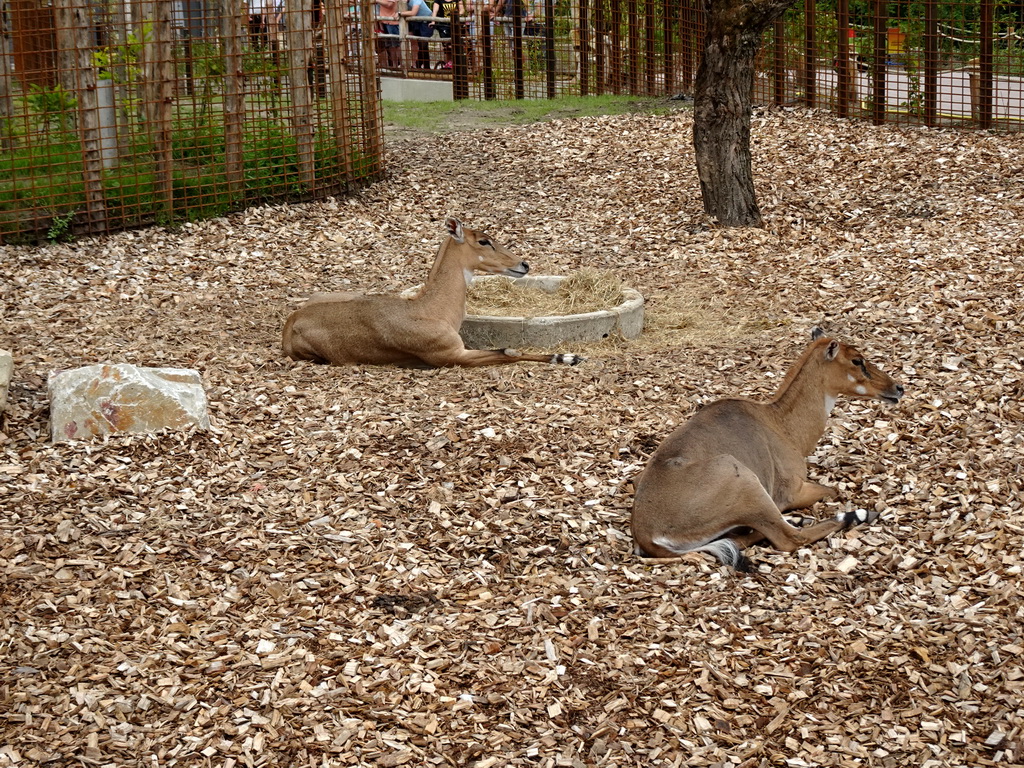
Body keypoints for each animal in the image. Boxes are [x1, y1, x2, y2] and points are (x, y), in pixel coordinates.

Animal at [280, 218, 585, 370]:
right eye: (483, 240)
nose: (523, 264)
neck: (429, 309)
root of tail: (292, 321)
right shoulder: (451, 355)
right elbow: (509, 351)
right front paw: (569, 358)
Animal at [630, 331, 905, 573]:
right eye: (857, 360)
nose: (898, 388)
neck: (780, 424)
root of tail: (647, 534)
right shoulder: (792, 491)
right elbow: (832, 490)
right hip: (744, 481)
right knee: (788, 538)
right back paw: (856, 515)